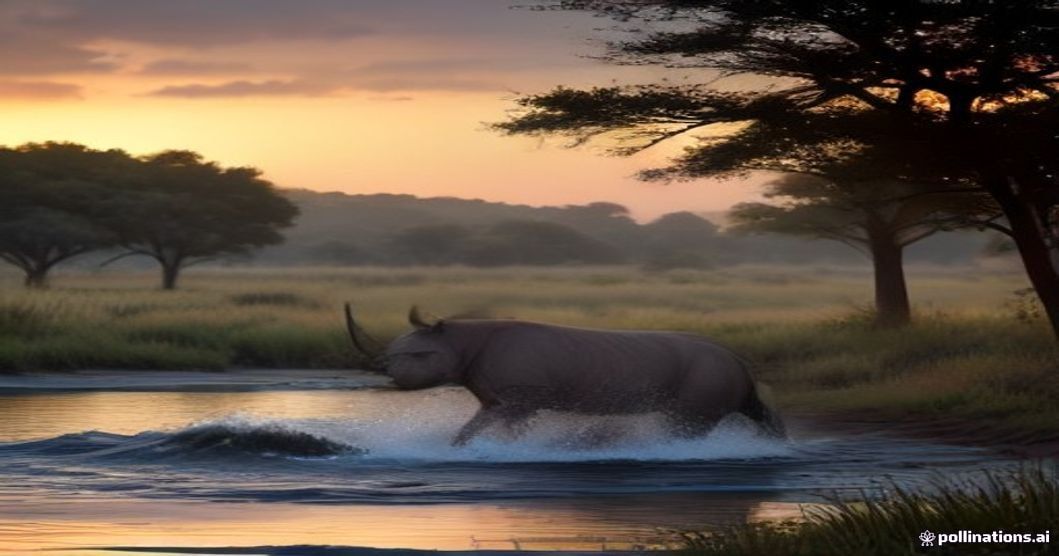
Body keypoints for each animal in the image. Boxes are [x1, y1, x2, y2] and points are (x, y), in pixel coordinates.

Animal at [345, 304, 785, 446]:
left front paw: (456, 449)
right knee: (757, 410)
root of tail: (738, 358)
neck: (460, 338)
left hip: (707, 372)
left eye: (417, 356)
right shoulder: (508, 400)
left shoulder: (518, 397)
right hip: (725, 373)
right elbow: (502, 429)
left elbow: (472, 429)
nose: (392, 378)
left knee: (687, 423)